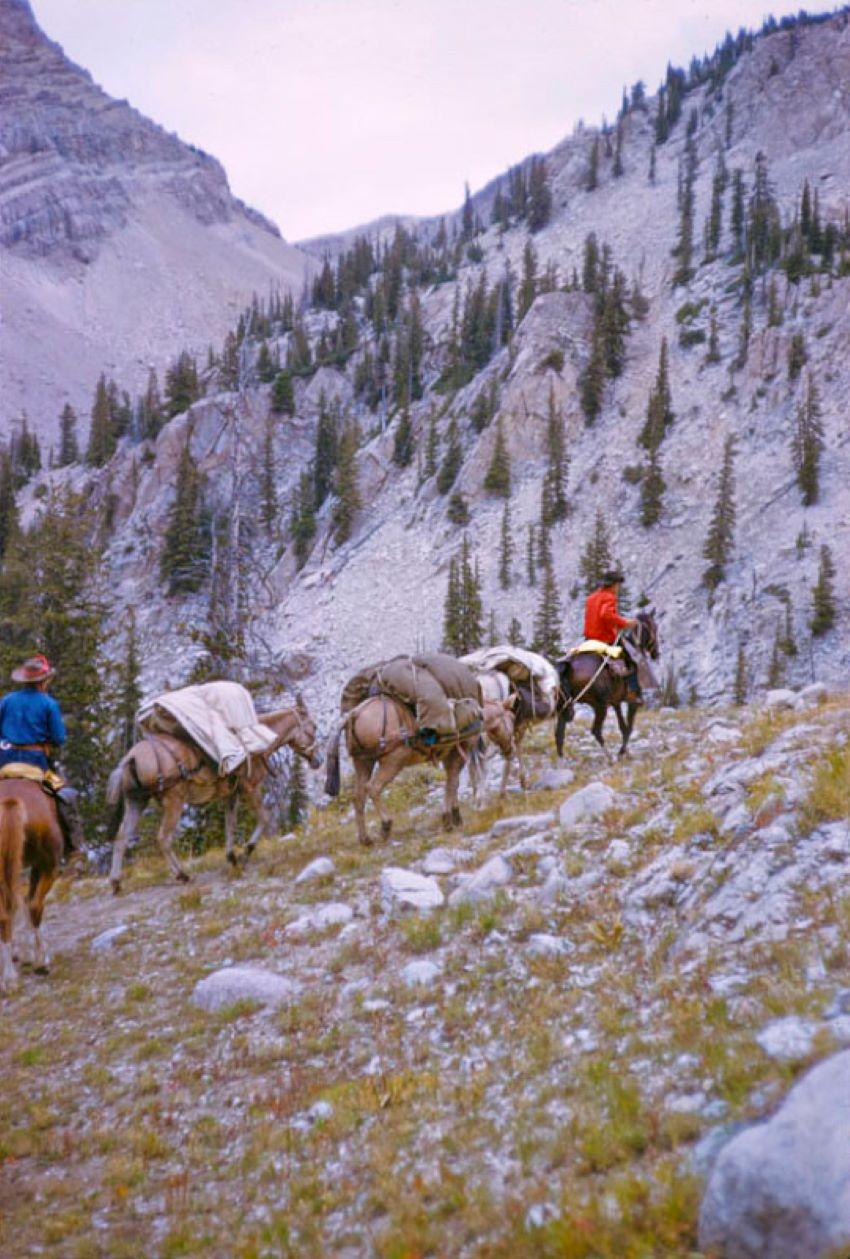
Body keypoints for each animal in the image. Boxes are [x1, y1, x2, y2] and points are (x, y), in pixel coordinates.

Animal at [0, 775, 64, 992]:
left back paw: (9, 978)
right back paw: (41, 962)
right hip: (48, 866)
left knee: (5, 915)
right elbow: (30, 903)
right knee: (35, 905)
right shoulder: (37, 867)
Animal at [324, 700, 506, 846]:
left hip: (363, 761)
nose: (507, 746)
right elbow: (452, 783)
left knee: (358, 796)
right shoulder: (458, 754)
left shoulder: (450, 756)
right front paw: (450, 818)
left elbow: (452, 782)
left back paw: (365, 838)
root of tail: (354, 715)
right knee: (373, 788)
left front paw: (453, 817)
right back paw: (385, 826)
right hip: (392, 761)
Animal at [554, 609, 659, 755]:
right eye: (654, 627)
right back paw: (609, 756)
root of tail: (569, 664)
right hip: (600, 706)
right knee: (596, 731)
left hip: (565, 705)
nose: (656, 654)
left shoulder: (616, 702)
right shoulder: (632, 701)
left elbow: (623, 727)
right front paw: (621, 752)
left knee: (559, 734)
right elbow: (629, 728)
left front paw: (624, 751)